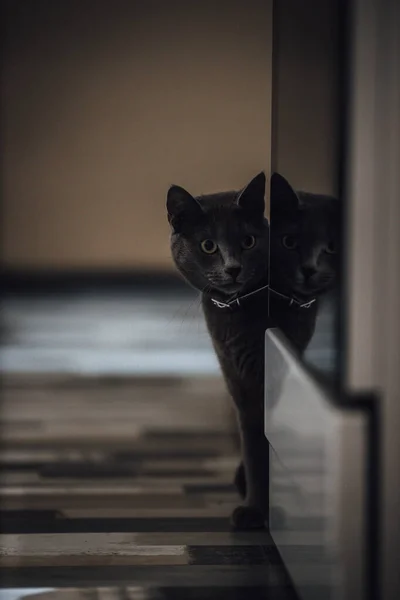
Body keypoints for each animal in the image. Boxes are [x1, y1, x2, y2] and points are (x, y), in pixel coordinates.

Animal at [167, 171, 340, 528]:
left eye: (247, 241)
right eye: (208, 245)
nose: (233, 267)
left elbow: (264, 441)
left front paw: (260, 509)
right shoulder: (236, 378)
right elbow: (253, 443)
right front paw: (255, 507)